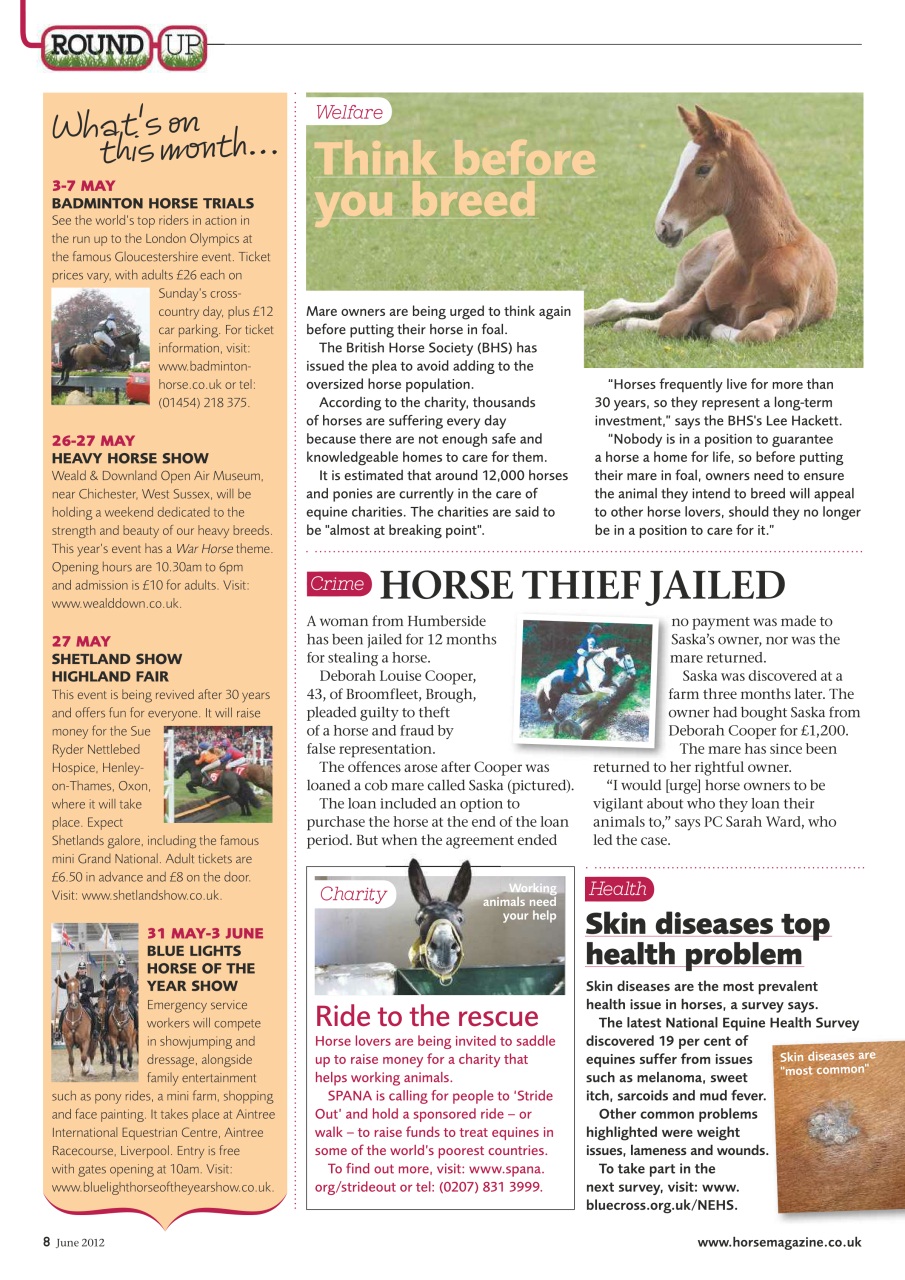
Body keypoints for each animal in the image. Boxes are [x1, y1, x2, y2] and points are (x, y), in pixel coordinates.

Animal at [584, 106, 837, 344]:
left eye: (703, 168)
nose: (663, 227)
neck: (760, 255)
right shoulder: (704, 294)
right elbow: (672, 321)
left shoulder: (789, 312)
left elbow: (755, 331)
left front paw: (707, 325)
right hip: (690, 273)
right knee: (661, 305)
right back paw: (595, 316)